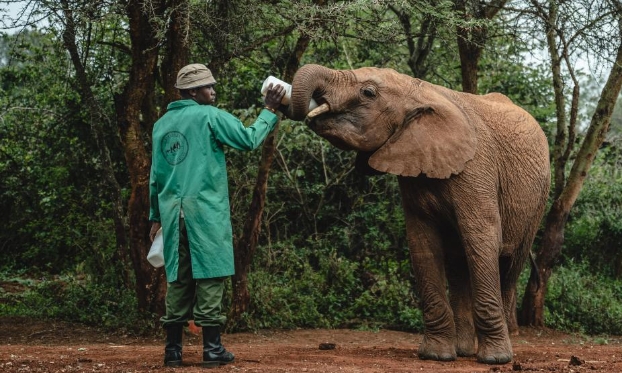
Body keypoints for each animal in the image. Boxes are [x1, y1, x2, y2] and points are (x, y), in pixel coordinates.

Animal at [282, 64, 552, 364]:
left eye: (368, 93)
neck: (420, 90)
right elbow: (423, 245)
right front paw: (436, 356)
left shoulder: (476, 169)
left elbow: (481, 239)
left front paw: (494, 360)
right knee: (459, 264)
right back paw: (464, 351)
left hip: (537, 201)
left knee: (509, 265)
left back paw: (499, 353)